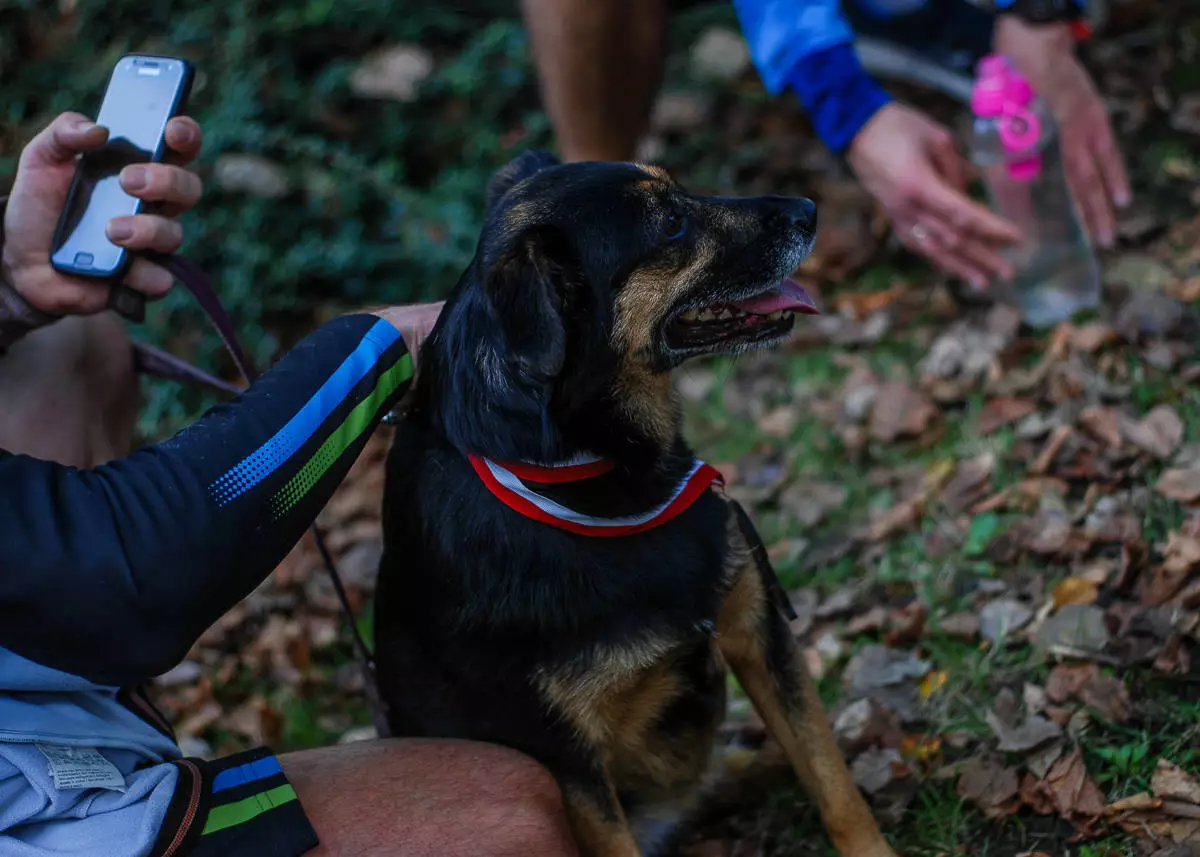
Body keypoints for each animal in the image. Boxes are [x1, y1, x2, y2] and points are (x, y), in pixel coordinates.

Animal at [374, 150, 902, 854]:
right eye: (671, 222)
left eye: (679, 189)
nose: (809, 208)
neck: (598, 480)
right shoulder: (568, 764)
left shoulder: (759, 633)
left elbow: (833, 784)